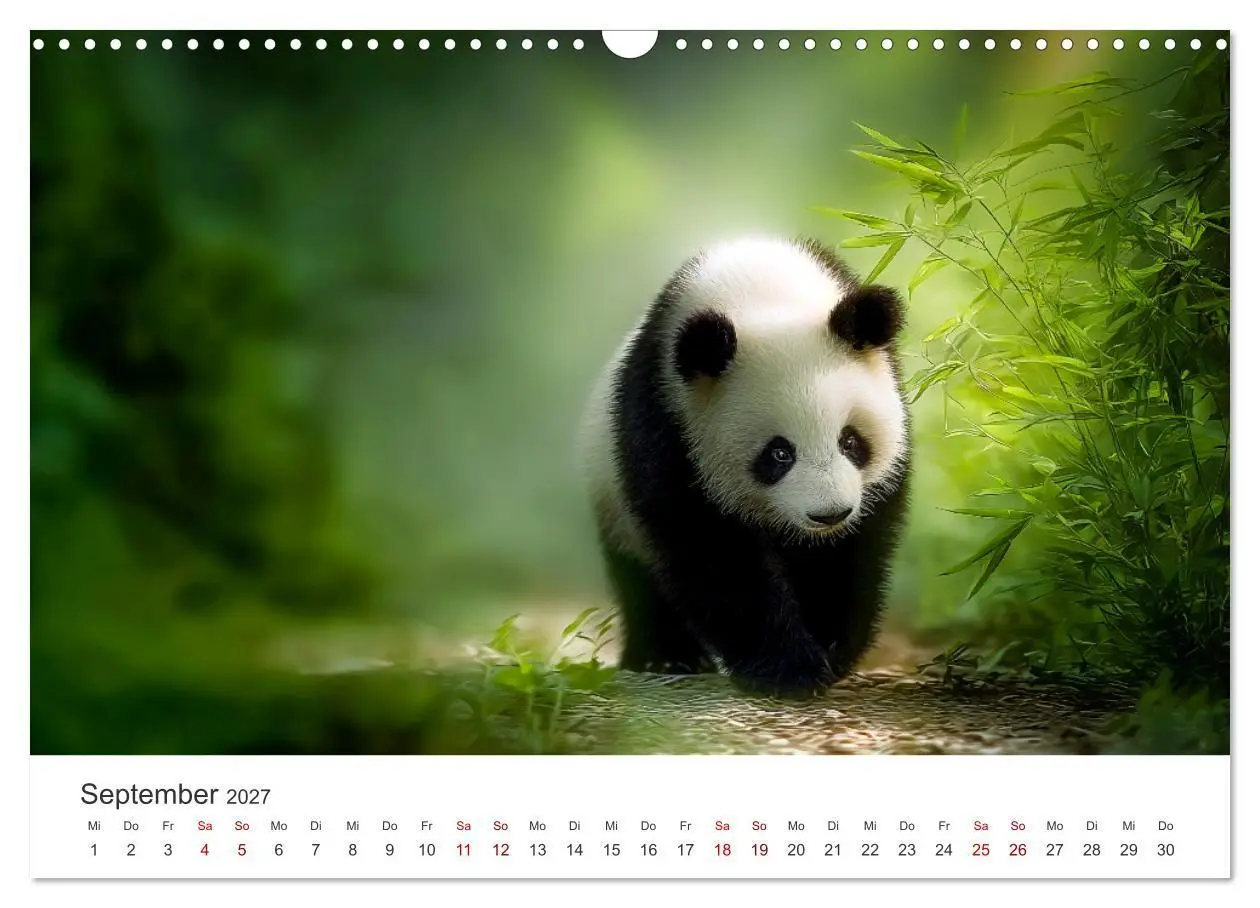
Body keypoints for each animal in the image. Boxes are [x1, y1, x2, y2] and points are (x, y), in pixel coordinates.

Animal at [579, 235, 911, 696]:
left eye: (850, 441)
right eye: (778, 453)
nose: (829, 514)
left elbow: (849, 551)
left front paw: (832, 648)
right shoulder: (668, 419)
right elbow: (711, 550)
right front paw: (788, 667)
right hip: (612, 500)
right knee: (641, 580)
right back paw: (665, 656)